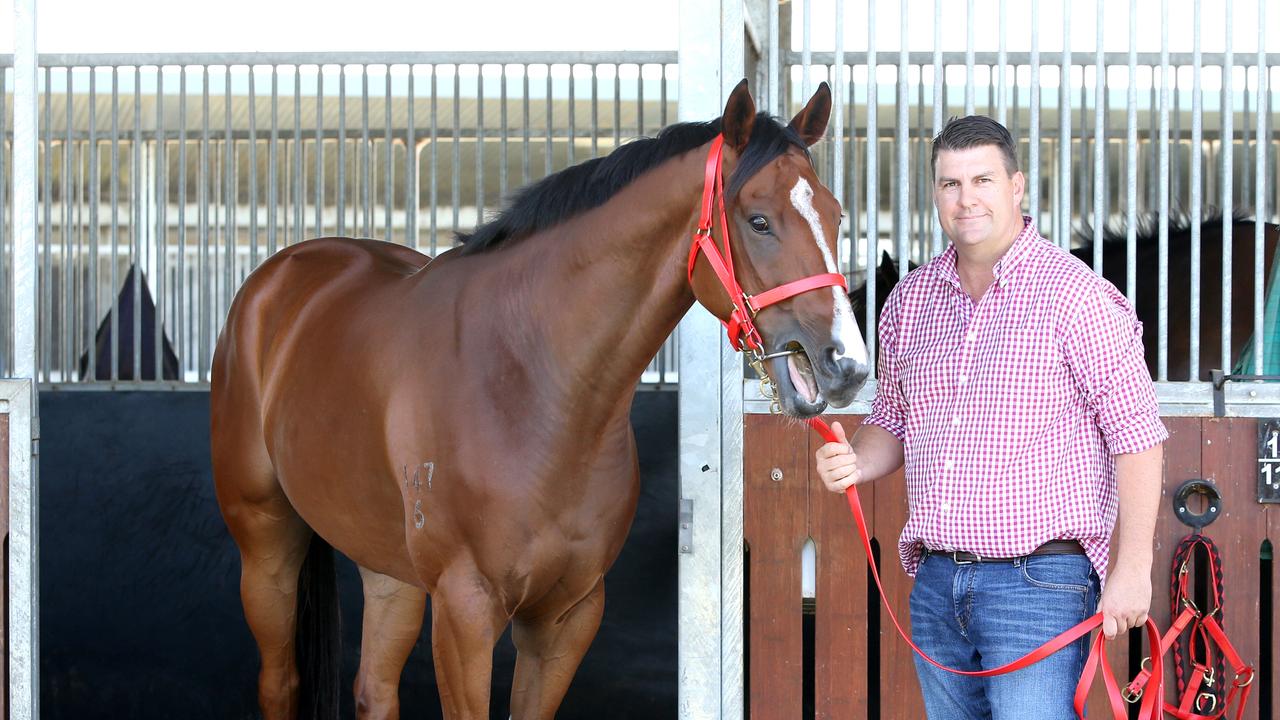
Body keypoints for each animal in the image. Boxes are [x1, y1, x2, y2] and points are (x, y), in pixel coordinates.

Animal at [209, 79, 870, 717]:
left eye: (836, 215)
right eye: (758, 220)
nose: (846, 364)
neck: (533, 387)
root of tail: (279, 277)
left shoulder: (567, 616)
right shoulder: (465, 611)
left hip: (387, 568)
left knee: (374, 690)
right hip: (266, 546)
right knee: (279, 683)